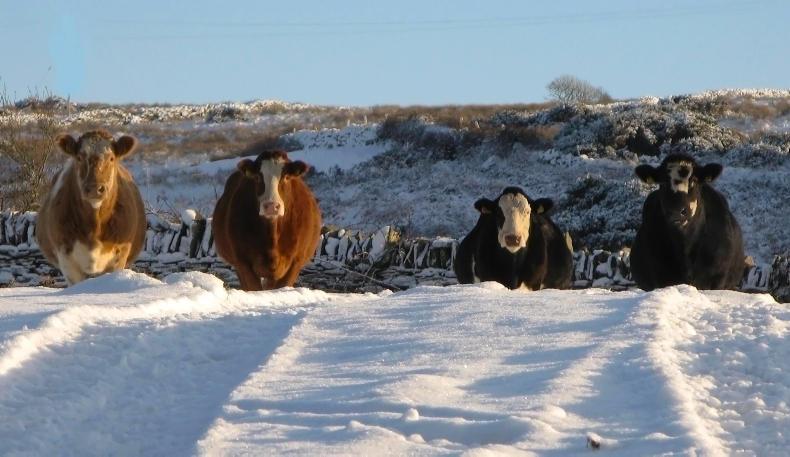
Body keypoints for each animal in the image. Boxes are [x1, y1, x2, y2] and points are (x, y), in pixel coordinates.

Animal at [36, 130, 146, 285]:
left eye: (111, 158)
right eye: (79, 157)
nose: (95, 188)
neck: (95, 226)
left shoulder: (119, 256)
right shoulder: (66, 260)